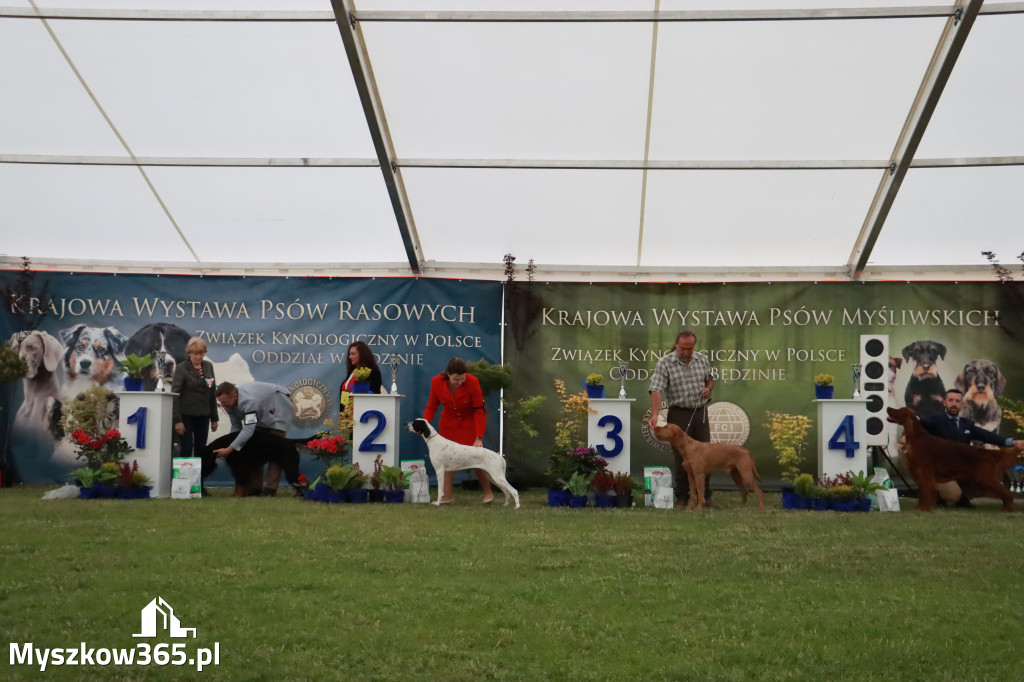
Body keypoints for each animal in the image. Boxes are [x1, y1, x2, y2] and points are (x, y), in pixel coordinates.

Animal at [884, 403, 1019, 509]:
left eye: (899, 410)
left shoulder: (924, 472)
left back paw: (1008, 510)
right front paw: (921, 507)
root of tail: (986, 452)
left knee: (1008, 493)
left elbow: (925, 491)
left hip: (986, 478)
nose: (888, 408)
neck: (916, 437)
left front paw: (922, 509)